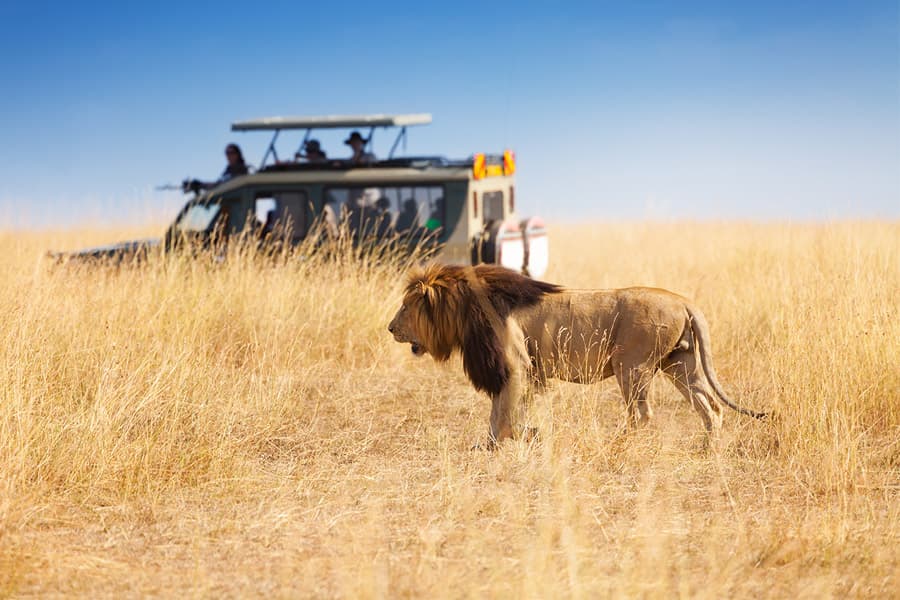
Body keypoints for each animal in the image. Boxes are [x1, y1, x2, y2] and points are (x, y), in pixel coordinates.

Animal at [388, 263, 766, 446]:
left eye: (406, 307)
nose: (390, 328)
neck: (465, 309)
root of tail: (684, 301)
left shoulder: (515, 366)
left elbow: (505, 416)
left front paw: (528, 436)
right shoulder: (513, 371)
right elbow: (498, 414)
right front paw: (493, 445)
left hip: (632, 366)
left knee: (642, 414)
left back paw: (617, 444)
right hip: (680, 364)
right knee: (711, 407)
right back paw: (708, 449)